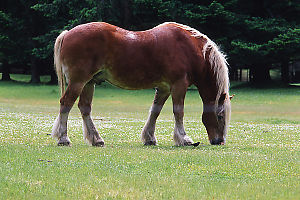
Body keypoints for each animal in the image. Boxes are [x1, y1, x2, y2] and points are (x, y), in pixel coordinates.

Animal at [52, 21, 232, 147]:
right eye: (220, 115)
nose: (219, 141)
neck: (189, 48)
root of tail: (67, 34)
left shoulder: (164, 88)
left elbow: (155, 111)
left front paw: (149, 138)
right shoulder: (179, 85)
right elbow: (178, 112)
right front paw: (184, 139)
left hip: (89, 83)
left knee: (84, 108)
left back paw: (96, 139)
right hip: (78, 82)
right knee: (66, 103)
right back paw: (63, 138)